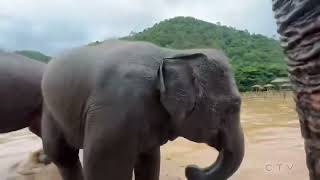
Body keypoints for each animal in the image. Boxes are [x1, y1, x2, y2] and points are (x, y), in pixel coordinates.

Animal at [40, 40, 245, 180]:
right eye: (234, 106)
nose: (190, 169)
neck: (173, 53)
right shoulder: (115, 111)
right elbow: (106, 169)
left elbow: (149, 159)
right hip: (50, 111)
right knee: (63, 155)